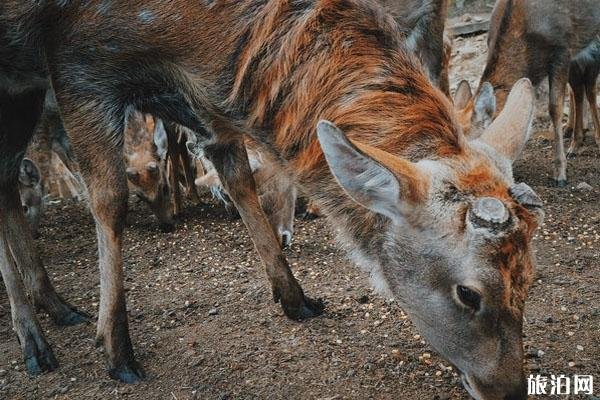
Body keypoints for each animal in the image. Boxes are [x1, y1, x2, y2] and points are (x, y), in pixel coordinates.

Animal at [1, 2, 544, 396]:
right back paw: (36, 342)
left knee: (6, 182)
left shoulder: (200, 102)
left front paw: (295, 297)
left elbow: (240, 178)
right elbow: (109, 200)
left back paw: (56, 308)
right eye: (469, 293)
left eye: (530, 277)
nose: (508, 390)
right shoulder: (76, 62)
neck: (193, 39)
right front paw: (116, 351)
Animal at [454, 0, 600, 187]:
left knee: (588, 87)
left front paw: (560, 174)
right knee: (580, 88)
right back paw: (575, 139)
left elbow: (555, 108)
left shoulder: (563, 51)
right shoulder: (572, 53)